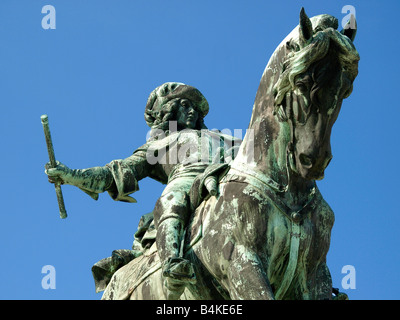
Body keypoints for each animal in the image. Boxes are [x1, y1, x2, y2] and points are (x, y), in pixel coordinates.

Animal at [101, 9, 360, 300]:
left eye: (346, 88)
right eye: (302, 82)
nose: (313, 160)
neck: (290, 192)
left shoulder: (315, 277)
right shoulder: (242, 265)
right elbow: (131, 167)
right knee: (170, 206)